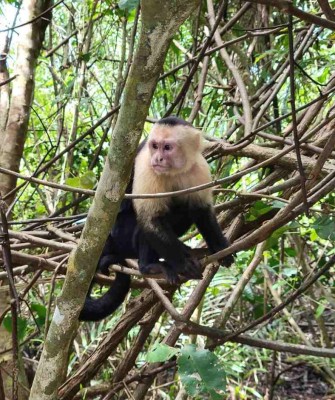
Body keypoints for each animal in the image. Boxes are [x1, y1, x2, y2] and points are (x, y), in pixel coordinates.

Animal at [79, 116, 232, 322]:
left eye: (167, 147)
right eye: (154, 146)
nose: (158, 158)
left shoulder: (199, 168)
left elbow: (201, 210)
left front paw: (220, 247)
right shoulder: (146, 166)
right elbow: (150, 220)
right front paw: (183, 264)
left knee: (184, 207)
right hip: (121, 235)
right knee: (146, 224)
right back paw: (150, 267)